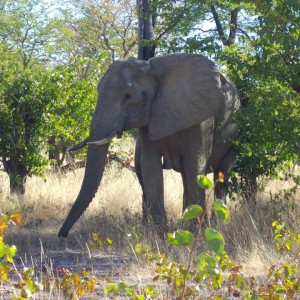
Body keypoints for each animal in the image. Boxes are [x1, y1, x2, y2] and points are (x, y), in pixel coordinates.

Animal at [58, 53, 240, 237]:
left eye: (128, 96)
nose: (62, 234)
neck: (153, 70)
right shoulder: (148, 121)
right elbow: (151, 171)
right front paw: (165, 235)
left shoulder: (201, 120)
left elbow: (195, 168)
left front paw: (195, 234)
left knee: (221, 176)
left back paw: (218, 225)